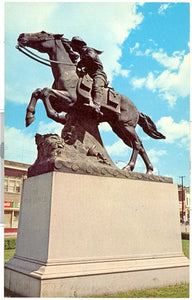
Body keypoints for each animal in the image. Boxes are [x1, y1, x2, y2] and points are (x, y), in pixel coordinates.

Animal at [16, 30, 165, 173]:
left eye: (43, 33)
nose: (21, 36)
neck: (68, 73)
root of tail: (137, 110)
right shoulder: (62, 102)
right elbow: (38, 92)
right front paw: (29, 117)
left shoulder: (70, 99)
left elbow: (46, 92)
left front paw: (58, 117)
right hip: (119, 129)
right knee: (139, 145)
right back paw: (148, 171)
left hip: (126, 126)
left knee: (137, 144)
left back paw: (129, 167)